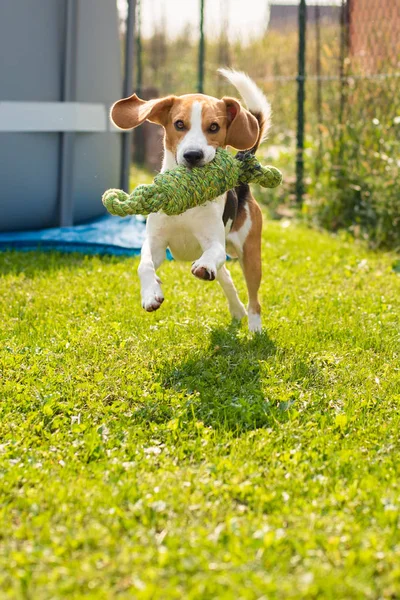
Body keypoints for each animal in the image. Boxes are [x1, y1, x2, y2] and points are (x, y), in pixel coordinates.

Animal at [111, 71, 270, 336]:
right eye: (179, 124)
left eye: (214, 127)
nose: (193, 155)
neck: (188, 196)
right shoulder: (156, 243)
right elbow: (144, 265)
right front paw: (151, 294)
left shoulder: (214, 242)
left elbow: (212, 254)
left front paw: (203, 266)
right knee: (227, 279)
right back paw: (237, 310)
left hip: (250, 254)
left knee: (254, 297)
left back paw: (254, 327)